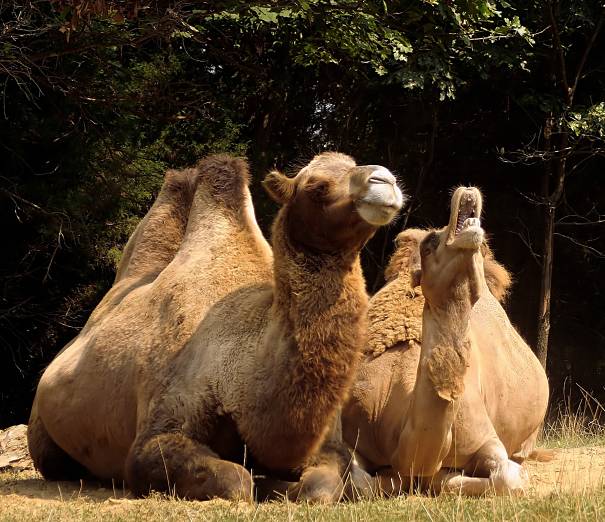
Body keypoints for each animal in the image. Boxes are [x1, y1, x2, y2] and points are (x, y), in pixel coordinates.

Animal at [29, 150, 406, 500]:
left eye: (352, 164)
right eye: (317, 186)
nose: (384, 179)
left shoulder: (328, 442)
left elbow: (324, 486)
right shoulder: (158, 431)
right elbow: (237, 481)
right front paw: (261, 481)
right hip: (43, 433)